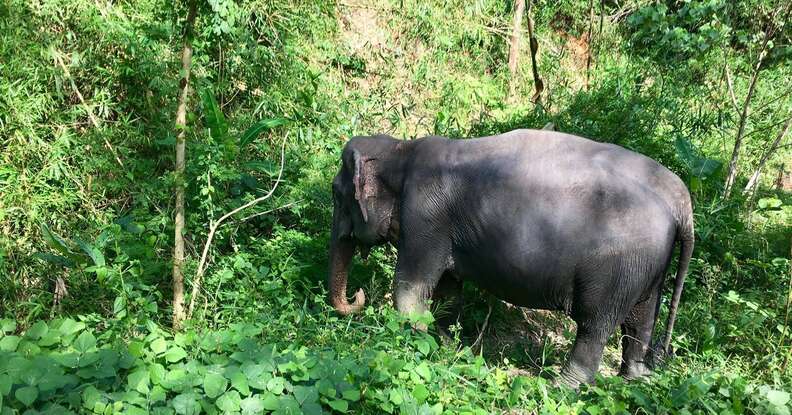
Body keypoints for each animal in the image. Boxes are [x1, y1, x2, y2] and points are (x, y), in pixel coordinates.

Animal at [328, 129, 692, 386]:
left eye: (335, 192)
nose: (358, 296)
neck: (402, 148)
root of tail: (682, 207)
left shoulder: (425, 215)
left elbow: (410, 291)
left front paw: (422, 342)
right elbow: (448, 291)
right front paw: (449, 346)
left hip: (617, 269)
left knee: (595, 325)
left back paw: (558, 386)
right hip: (648, 268)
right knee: (640, 320)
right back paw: (634, 380)